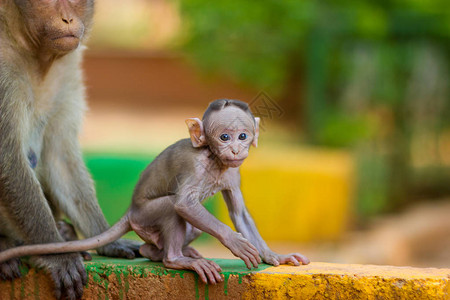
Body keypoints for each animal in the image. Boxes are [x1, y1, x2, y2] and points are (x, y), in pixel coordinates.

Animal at [0, 1, 140, 298]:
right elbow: (7, 160)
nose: (67, 18)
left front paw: (107, 239)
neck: (35, 56)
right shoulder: (1, 74)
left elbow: (60, 158)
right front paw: (57, 255)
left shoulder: (68, 70)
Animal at [0, 99, 310, 284]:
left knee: (178, 231)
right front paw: (234, 242)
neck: (215, 160)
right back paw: (175, 259)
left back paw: (160, 252)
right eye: (224, 137)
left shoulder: (233, 173)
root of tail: (130, 211)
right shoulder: (195, 167)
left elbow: (239, 214)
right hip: (144, 216)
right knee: (172, 208)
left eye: (243, 136)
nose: (235, 149)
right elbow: (184, 204)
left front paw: (273, 257)